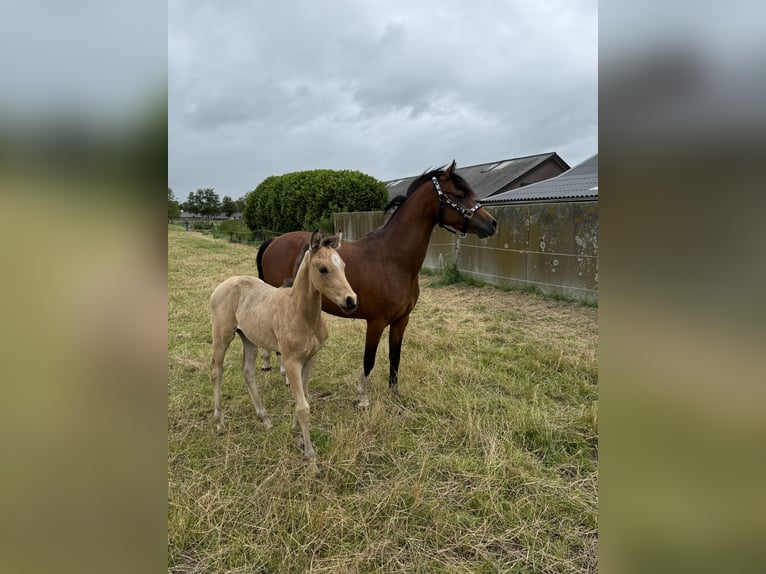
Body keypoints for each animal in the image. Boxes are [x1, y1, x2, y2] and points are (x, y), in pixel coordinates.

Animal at [207, 232, 356, 462]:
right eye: (323, 269)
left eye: (344, 266)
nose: (351, 301)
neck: (302, 314)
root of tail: (224, 284)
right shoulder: (291, 360)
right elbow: (303, 406)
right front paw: (310, 453)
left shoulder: (311, 358)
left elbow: (303, 395)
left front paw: (297, 435)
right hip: (222, 336)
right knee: (216, 370)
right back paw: (220, 424)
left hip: (249, 338)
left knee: (248, 372)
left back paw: (265, 419)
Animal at [256, 160, 498, 408]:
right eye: (460, 195)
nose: (492, 223)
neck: (392, 258)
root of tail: (274, 240)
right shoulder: (376, 322)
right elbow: (368, 359)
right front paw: (363, 399)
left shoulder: (401, 320)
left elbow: (395, 357)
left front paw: (394, 393)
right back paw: (285, 375)